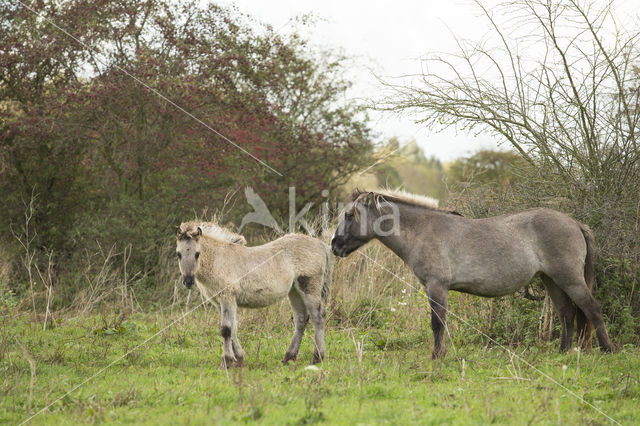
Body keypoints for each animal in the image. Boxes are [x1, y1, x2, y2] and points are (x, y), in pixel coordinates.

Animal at [176, 221, 332, 364]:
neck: (219, 259)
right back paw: (288, 357)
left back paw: (317, 357)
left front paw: (227, 361)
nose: (188, 281)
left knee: (318, 317)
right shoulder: (220, 302)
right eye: (179, 254)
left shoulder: (227, 297)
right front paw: (239, 358)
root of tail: (321, 244)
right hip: (294, 291)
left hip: (309, 287)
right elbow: (233, 328)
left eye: (197, 254)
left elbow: (226, 329)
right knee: (301, 319)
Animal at [332, 190, 612, 360]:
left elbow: (437, 323)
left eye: (348, 215)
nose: (334, 245)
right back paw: (563, 352)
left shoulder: (437, 286)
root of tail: (575, 223)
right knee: (565, 313)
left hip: (569, 279)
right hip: (551, 280)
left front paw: (437, 356)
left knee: (592, 309)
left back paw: (606, 350)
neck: (423, 230)